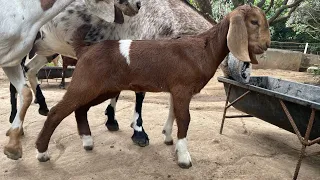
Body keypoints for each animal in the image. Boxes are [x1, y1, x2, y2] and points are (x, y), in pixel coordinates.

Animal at [35, 5, 270, 169]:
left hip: (103, 88)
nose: (267, 45)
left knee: (80, 109)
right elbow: (184, 118)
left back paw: (87, 141)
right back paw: (42, 153)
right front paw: (184, 157)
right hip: (85, 83)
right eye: (254, 22)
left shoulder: (176, 89)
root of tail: (84, 50)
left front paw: (168, 138)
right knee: (57, 112)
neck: (203, 49)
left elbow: (173, 113)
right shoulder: (183, 88)